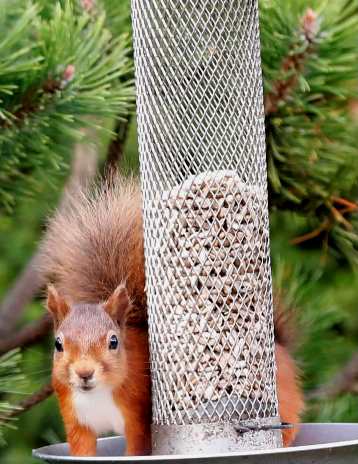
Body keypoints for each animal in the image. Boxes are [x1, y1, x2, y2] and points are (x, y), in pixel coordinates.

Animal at [41, 177, 302, 456]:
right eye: (58, 344)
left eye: (113, 342)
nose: (84, 373)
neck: (96, 395)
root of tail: (280, 346)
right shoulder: (76, 420)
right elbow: (82, 449)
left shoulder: (139, 417)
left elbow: (138, 448)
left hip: (282, 399)